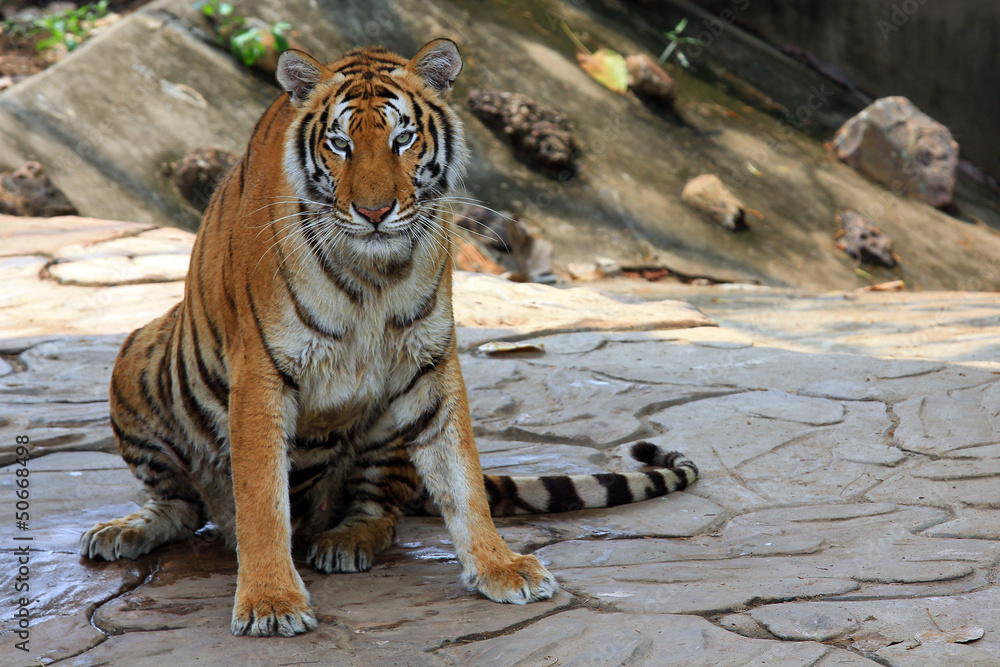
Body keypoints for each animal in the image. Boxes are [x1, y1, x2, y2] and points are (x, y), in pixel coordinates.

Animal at [79, 39, 698, 637]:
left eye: (402, 139)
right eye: (339, 144)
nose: (375, 212)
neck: (371, 274)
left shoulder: (430, 362)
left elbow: (462, 475)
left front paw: (499, 566)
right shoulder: (260, 372)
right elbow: (261, 499)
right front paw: (270, 601)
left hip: (383, 430)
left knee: (382, 510)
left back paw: (345, 541)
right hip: (134, 358)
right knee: (182, 506)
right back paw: (123, 531)